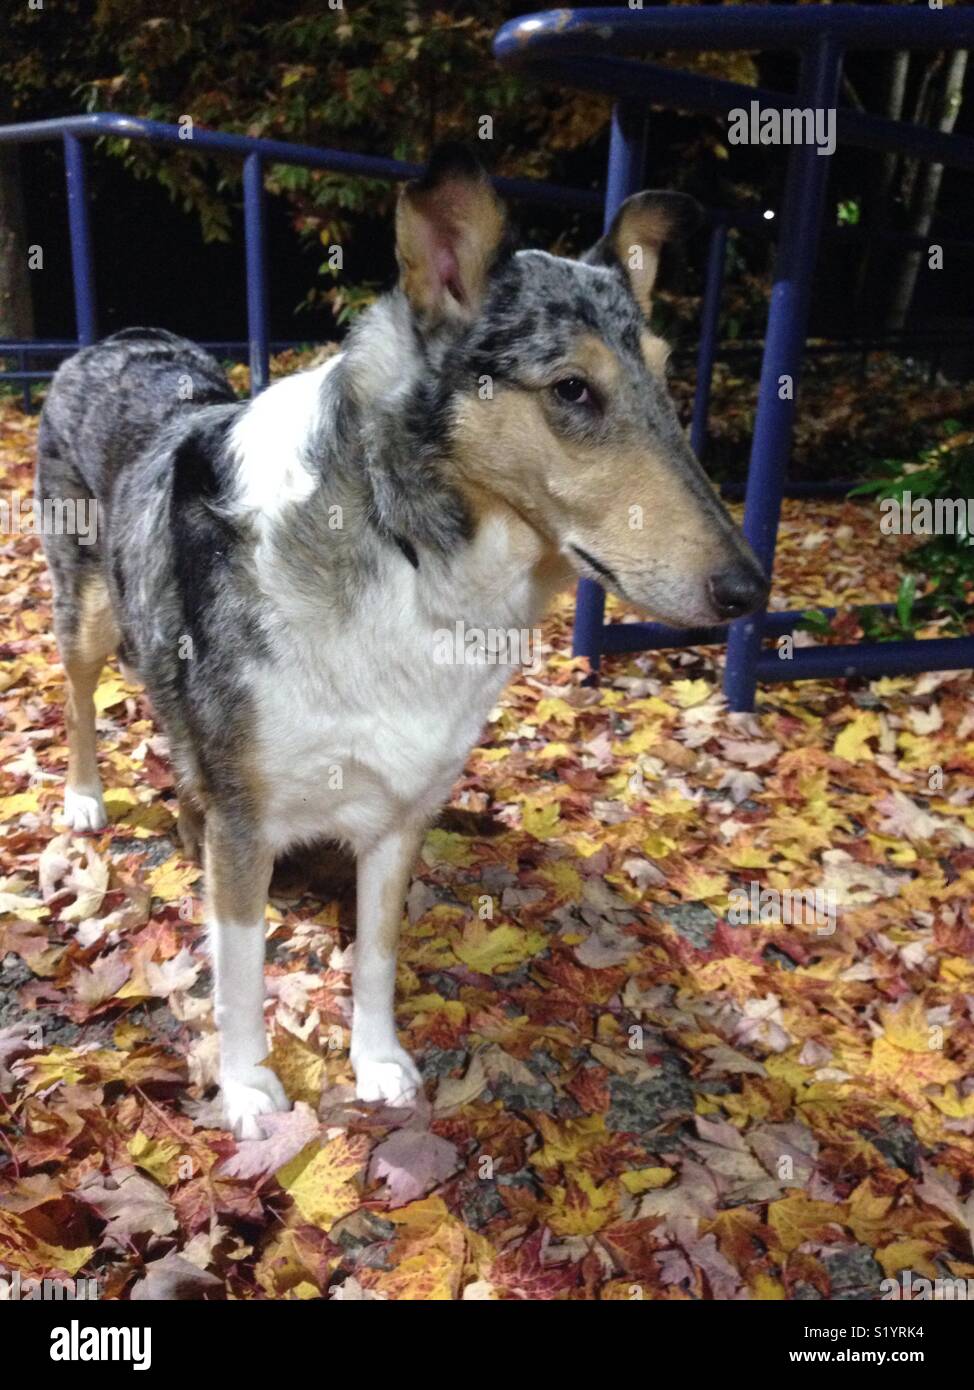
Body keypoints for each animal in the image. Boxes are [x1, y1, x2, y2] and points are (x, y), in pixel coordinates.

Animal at [36, 146, 766, 1134]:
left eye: (664, 380)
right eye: (573, 390)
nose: (751, 590)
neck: (408, 550)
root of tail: (114, 337)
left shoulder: (399, 815)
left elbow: (378, 958)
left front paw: (376, 1064)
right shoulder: (247, 826)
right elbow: (240, 977)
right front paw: (249, 1089)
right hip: (86, 610)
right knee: (78, 694)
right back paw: (84, 799)